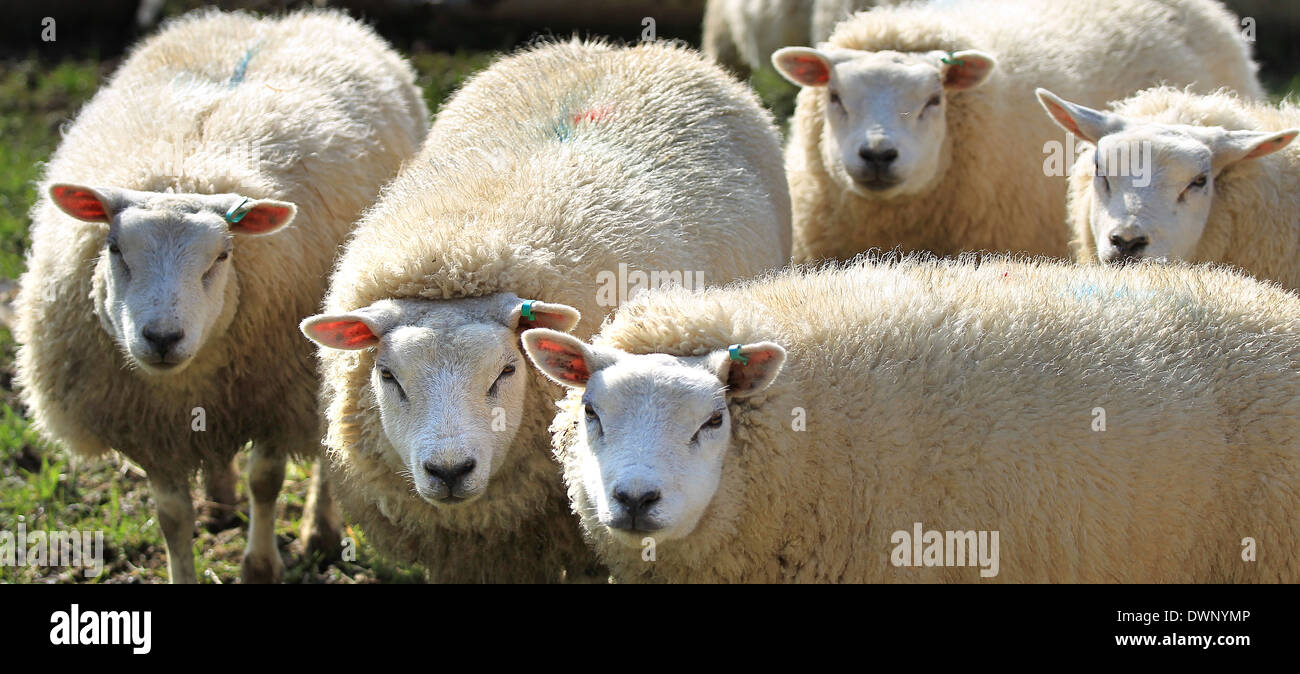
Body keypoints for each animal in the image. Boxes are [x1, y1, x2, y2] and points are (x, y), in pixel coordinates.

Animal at [12, 7, 428, 582]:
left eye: (221, 257)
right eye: (114, 248)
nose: (162, 337)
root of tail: (271, 19)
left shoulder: (280, 396)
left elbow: (267, 482)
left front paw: (260, 565)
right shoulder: (153, 429)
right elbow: (170, 515)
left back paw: (319, 532)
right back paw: (220, 500)